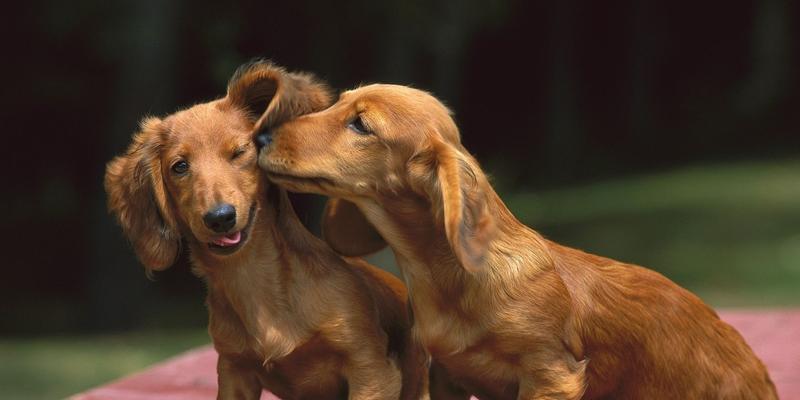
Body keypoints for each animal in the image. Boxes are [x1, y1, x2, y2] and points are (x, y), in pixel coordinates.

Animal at [106, 64, 432, 398]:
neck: (253, 277)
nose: (220, 218)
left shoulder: (370, 368)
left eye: (239, 152)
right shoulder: (234, 369)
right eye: (179, 166)